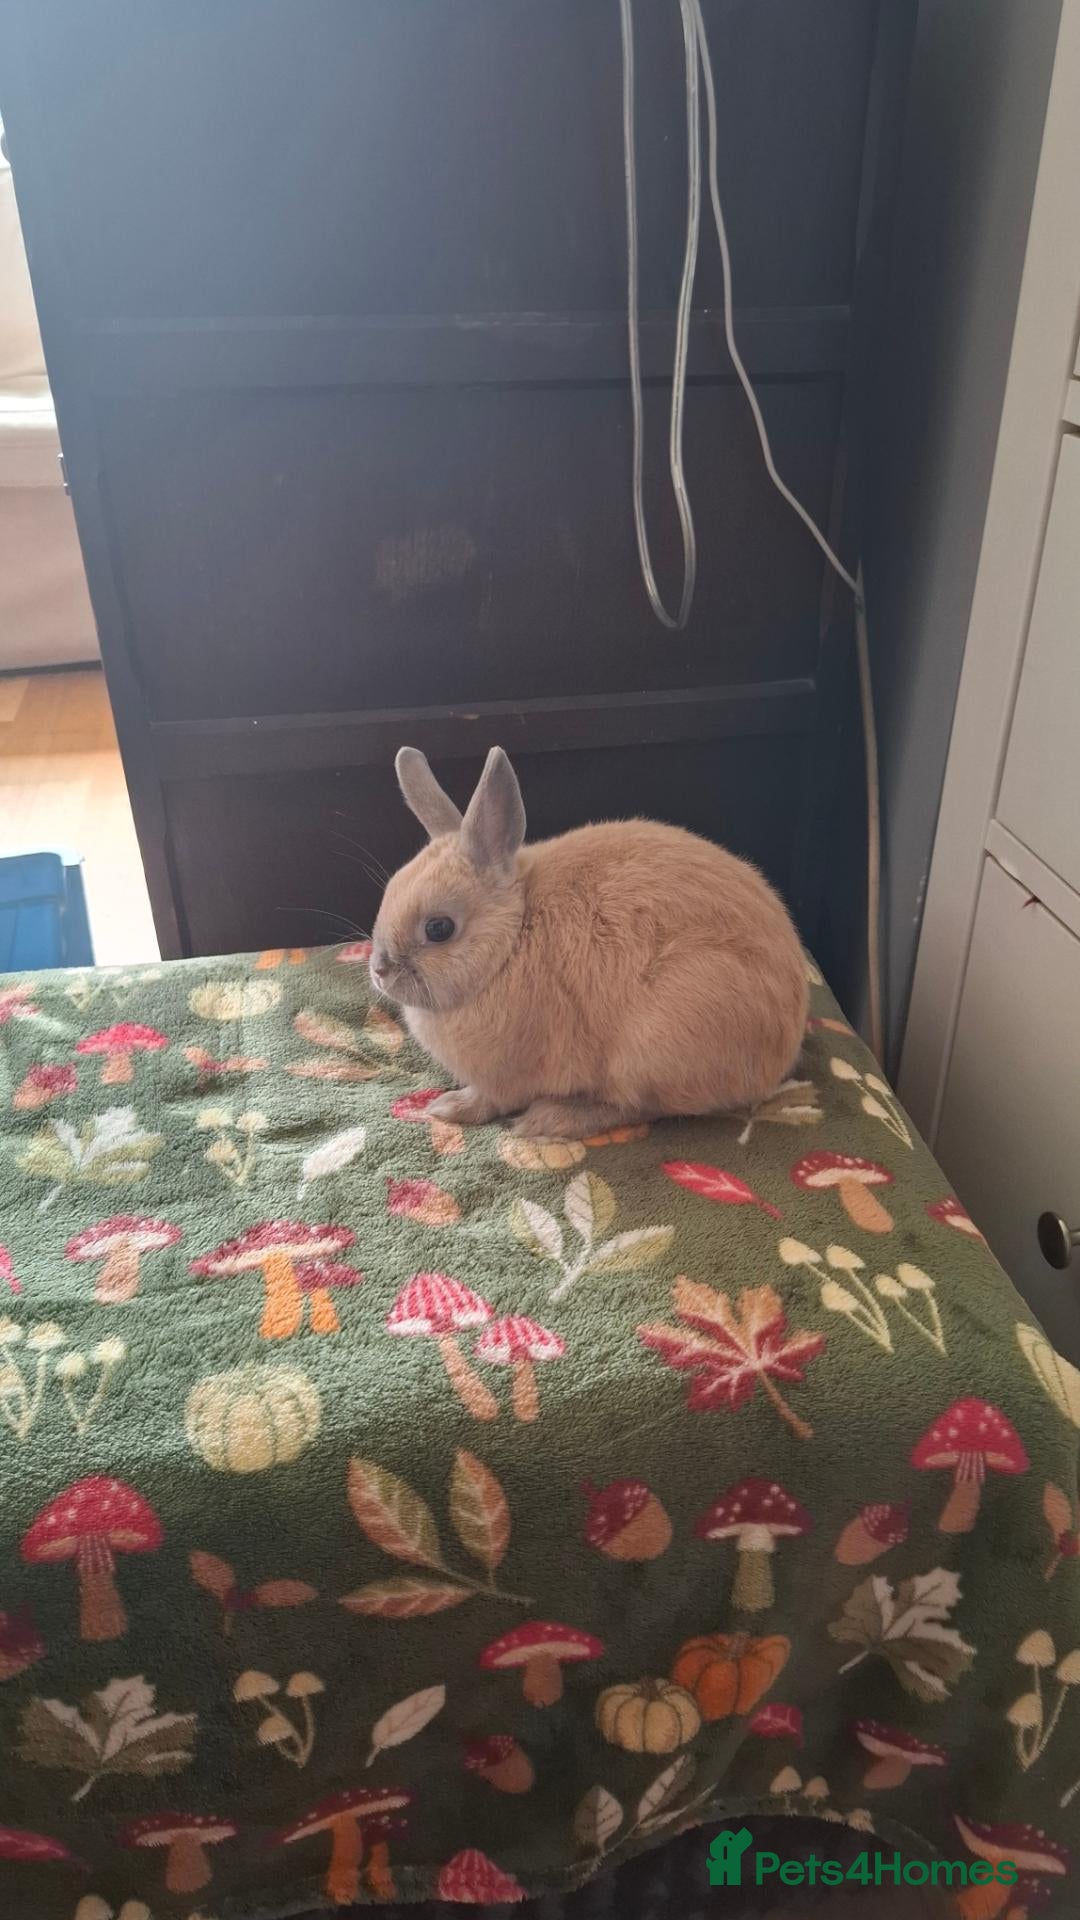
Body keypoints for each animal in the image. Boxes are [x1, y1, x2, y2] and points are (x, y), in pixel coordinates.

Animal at [369, 745, 809, 1139]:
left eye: (439, 928)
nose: (379, 970)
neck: (511, 941)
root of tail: (782, 1053)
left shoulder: (503, 1077)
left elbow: (488, 1100)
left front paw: (448, 1107)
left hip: (651, 1049)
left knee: (637, 1108)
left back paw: (550, 1120)